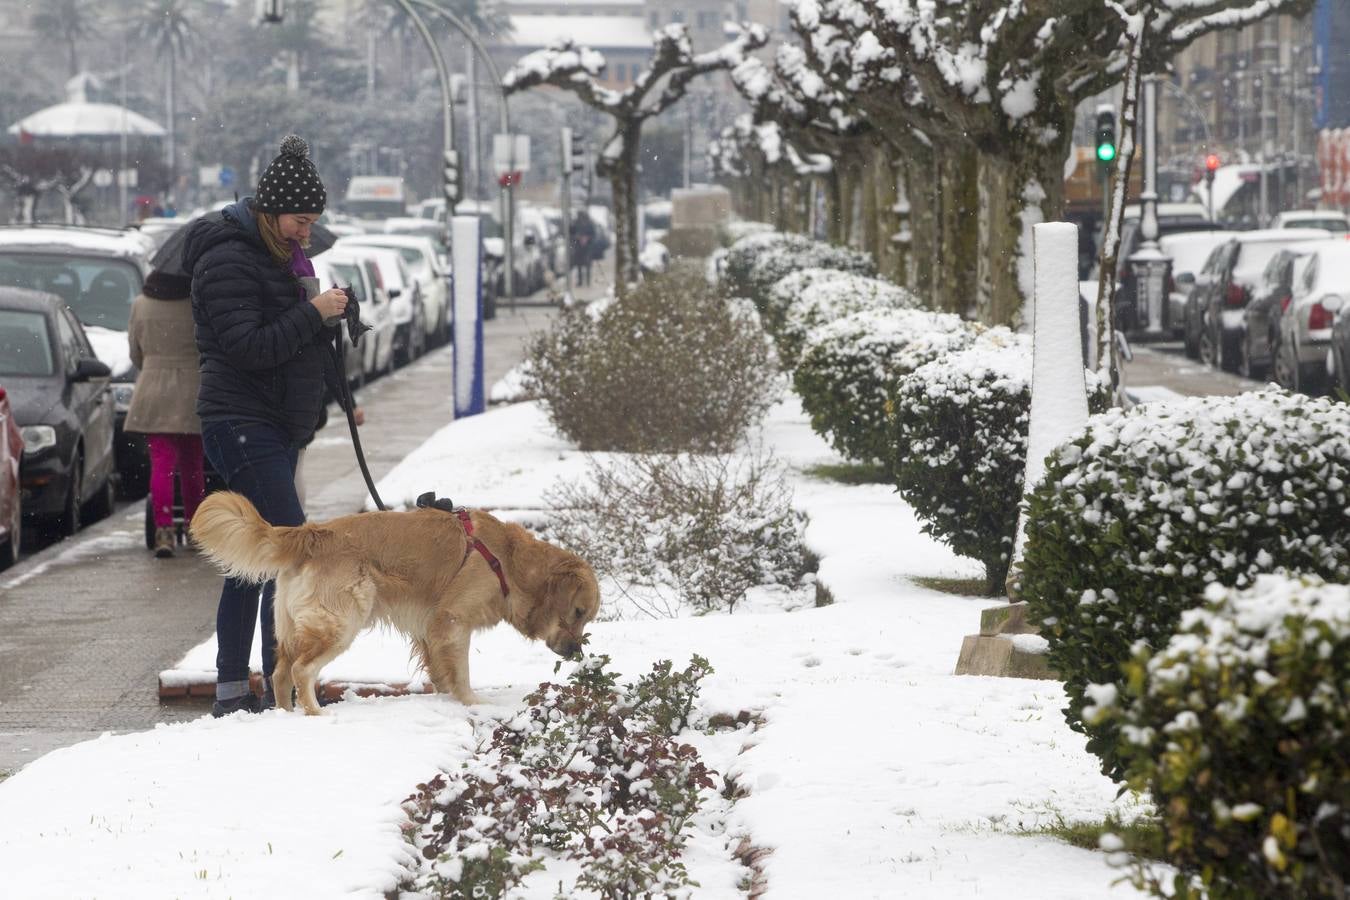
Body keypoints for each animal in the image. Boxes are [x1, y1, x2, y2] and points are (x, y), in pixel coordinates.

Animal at [187, 493, 599, 717]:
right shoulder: (451, 621)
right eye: (578, 612)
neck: (508, 561)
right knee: (303, 671)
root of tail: (313, 533)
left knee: (279, 673)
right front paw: (473, 703)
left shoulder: (432, 632)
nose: (576, 652)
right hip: (341, 622)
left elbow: (443, 672)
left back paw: (287, 715)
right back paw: (315, 714)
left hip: (292, 627)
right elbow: (462, 672)